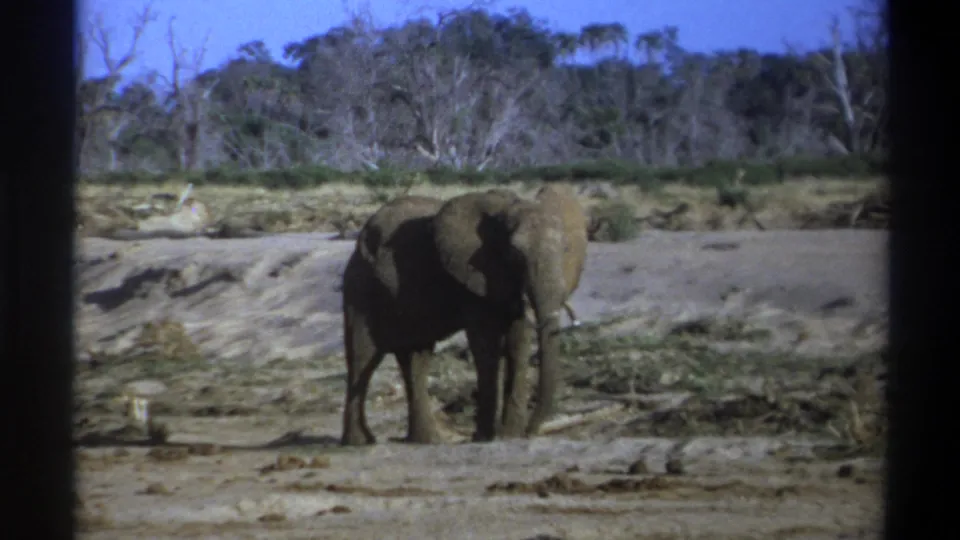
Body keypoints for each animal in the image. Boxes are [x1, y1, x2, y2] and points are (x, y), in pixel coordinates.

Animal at [432, 183, 588, 440]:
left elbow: (518, 340)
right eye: (516, 253)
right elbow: (485, 344)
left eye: (565, 249)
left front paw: (509, 434)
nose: (530, 433)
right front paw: (487, 437)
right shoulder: (473, 278)